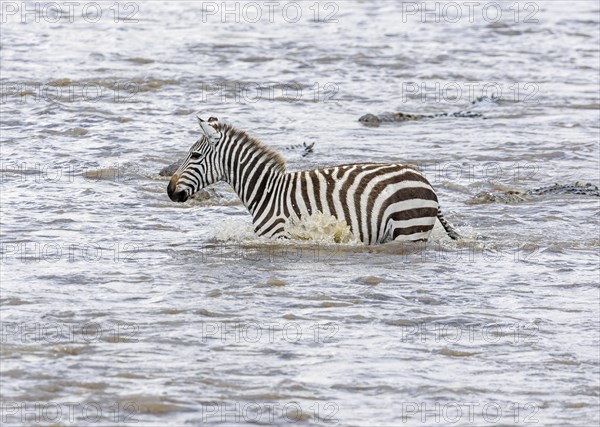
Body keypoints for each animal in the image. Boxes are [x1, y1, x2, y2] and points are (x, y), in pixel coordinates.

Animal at [166, 117, 458, 244]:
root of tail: (425, 180)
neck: (266, 192)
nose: (169, 190)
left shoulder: (280, 236)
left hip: (409, 231)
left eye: (194, 155)